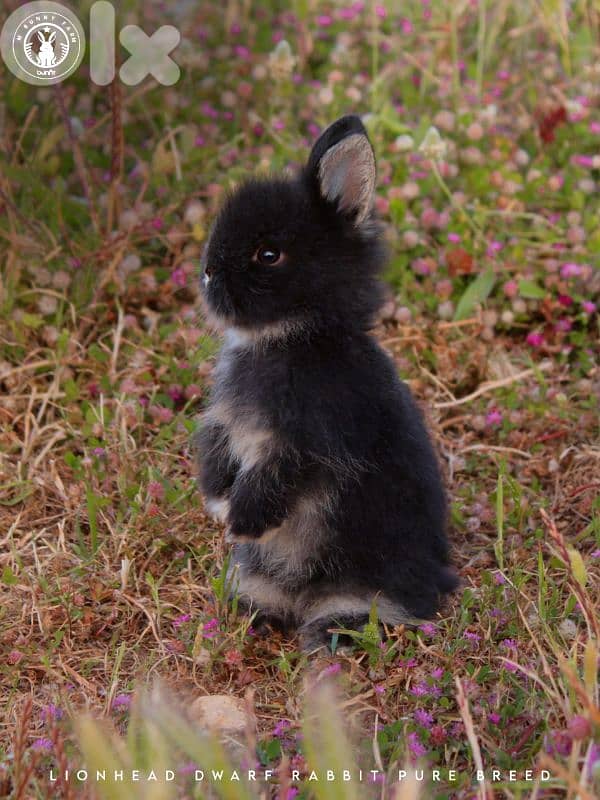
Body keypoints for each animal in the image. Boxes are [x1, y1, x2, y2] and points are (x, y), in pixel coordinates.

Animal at [195, 115, 458, 651]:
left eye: (268, 254)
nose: (207, 272)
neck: (293, 337)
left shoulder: (310, 443)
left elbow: (272, 480)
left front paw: (240, 521)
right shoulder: (226, 426)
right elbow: (216, 453)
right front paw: (217, 504)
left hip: (364, 582)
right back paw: (255, 614)